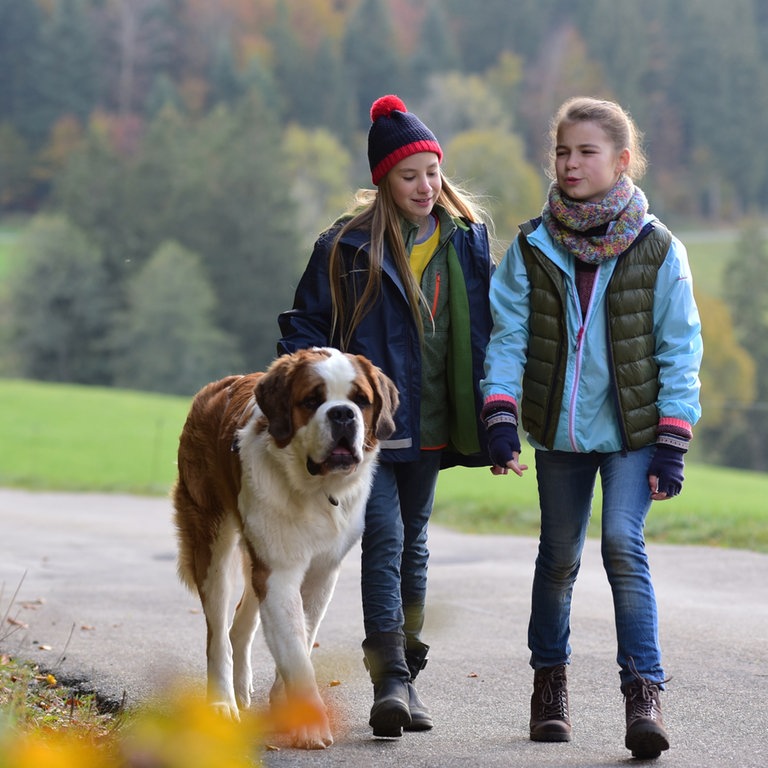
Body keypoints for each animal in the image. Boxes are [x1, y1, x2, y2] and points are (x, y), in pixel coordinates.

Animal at [174, 348, 400, 752]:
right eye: (311, 400)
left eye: (360, 400)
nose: (342, 413)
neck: (315, 490)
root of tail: (215, 387)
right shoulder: (279, 573)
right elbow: (295, 649)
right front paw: (310, 726)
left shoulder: (322, 572)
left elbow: (302, 635)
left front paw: (288, 706)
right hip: (212, 544)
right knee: (218, 633)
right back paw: (222, 703)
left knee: (241, 622)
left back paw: (241, 686)